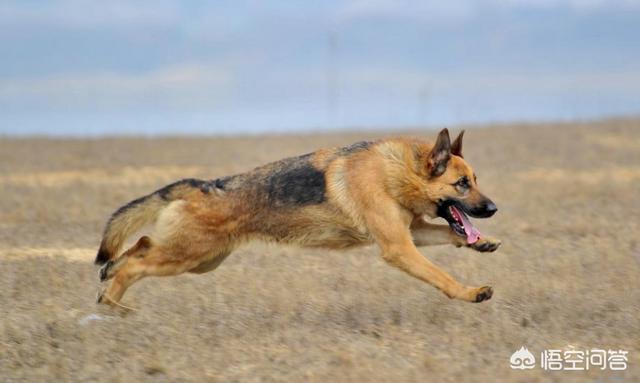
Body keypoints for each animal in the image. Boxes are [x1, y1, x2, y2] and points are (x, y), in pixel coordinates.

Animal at [95, 129, 500, 306]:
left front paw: (484, 243)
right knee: (136, 263)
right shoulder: (399, 248)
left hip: (200, 260)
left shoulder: (410, 233)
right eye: (462, 184)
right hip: (187, 257)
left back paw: (108, 279)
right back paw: (112, 303)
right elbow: (442, 276)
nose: (494, 209)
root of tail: (203, 186)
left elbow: (453, 235)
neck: (397, 171)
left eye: (476, 180)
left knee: (139, 246)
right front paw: (470, 293)